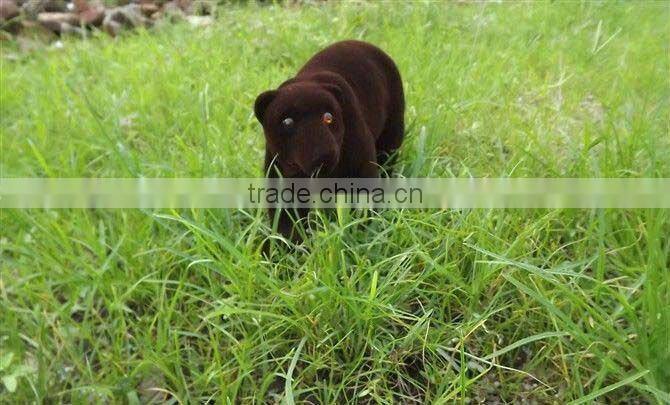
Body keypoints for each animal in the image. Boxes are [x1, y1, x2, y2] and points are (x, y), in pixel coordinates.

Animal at [254, 39, 405, 241]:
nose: (322, 154)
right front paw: (288, 247)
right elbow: (287, 223)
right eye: (287, 121)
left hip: (391, 137)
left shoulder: (362, 169)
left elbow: (363, 208)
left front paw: (363, 235)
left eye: (328, 117)